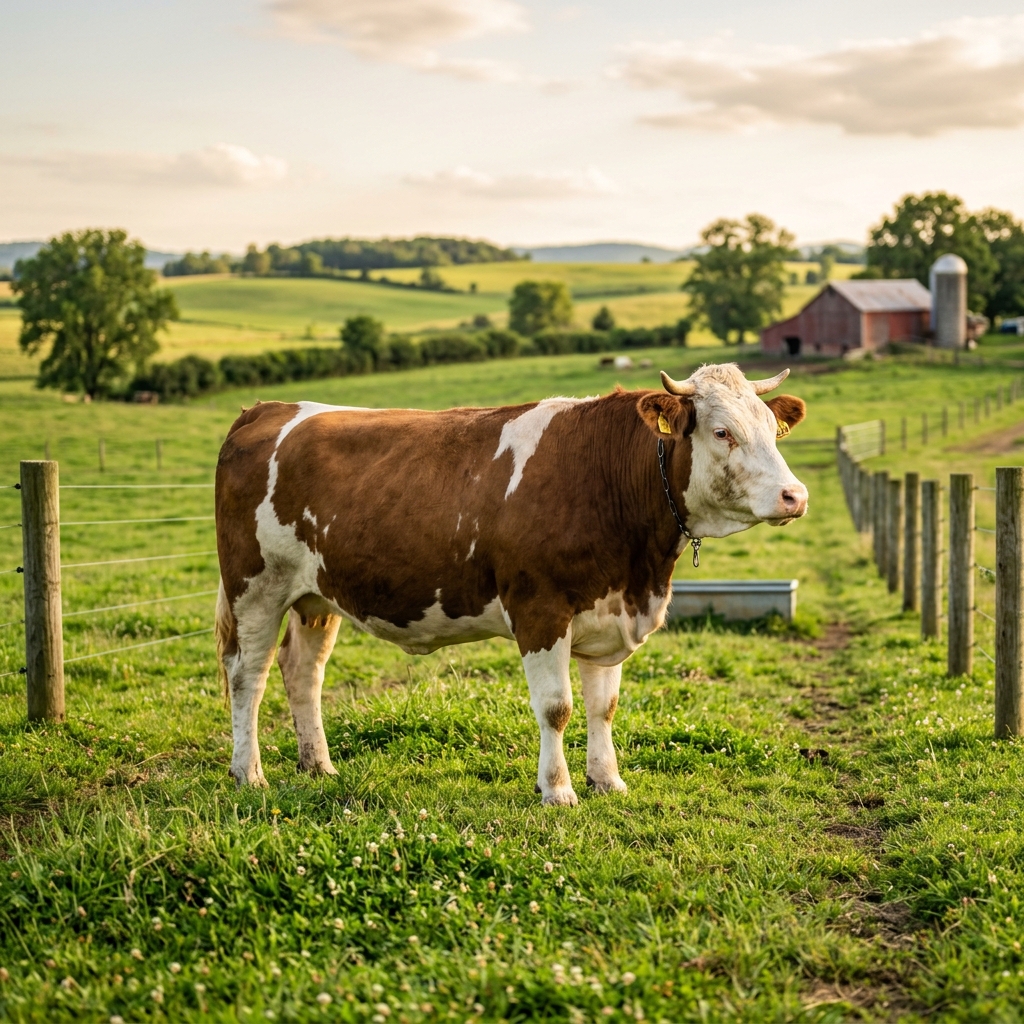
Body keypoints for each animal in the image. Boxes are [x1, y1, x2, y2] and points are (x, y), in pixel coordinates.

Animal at [214, 362, 808, 805]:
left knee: (302, 672)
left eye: (770, 428)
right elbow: (557, 707)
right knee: (248, 675)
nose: (795, 496)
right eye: (722, 431)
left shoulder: (607, 611)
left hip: (315, 596)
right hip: (256, 587)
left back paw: (318, 765)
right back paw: (249, 773)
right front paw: (558, 790)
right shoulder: (539, 610)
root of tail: (266, 409)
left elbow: (603, 706)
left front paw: (607, 780)